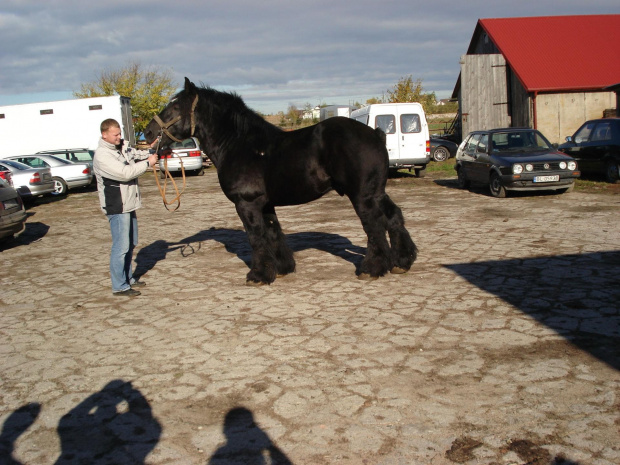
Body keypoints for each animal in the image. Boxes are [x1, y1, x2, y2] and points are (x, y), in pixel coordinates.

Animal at [145, 77, 416, 282]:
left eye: (175, 107)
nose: (148, 132)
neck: (239, 144)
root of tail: (376, 133)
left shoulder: (246, 203)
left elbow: (255, 237)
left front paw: (258, 275)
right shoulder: (265, 204)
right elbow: (272, 233)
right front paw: (282, 268)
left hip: (362, 195)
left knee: (374, 226)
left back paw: (372, 269)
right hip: (376, 192)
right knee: (393, 217)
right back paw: (402, 262)